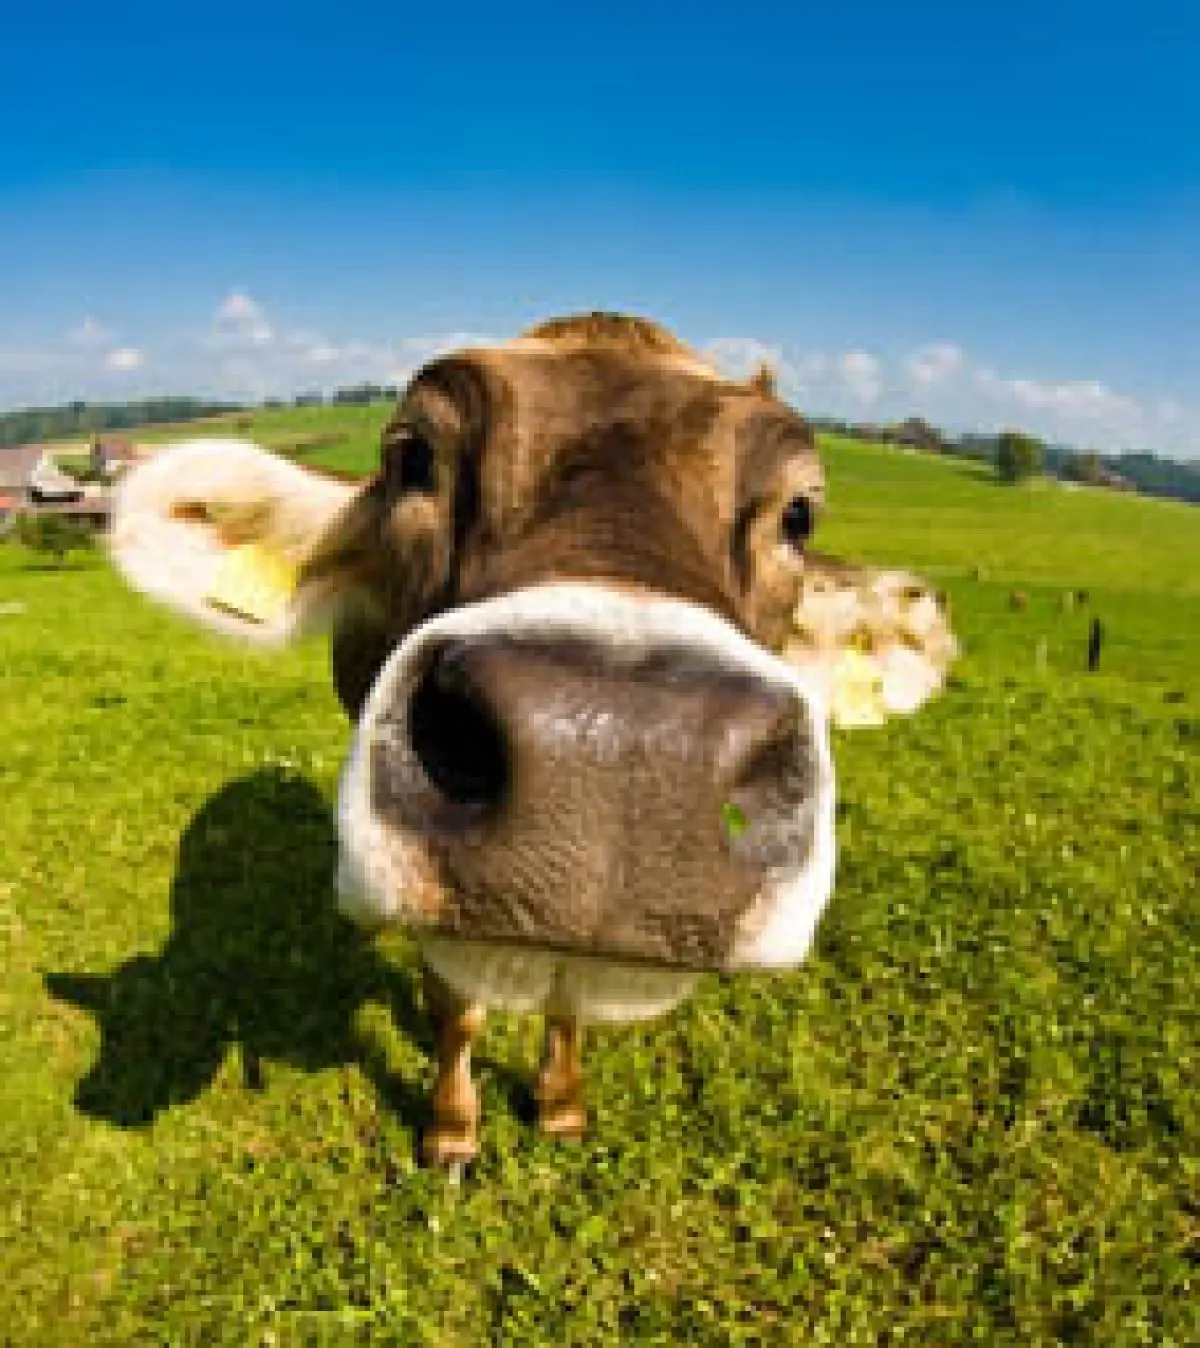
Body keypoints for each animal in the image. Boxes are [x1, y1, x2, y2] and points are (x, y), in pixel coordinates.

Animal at [109, 313, 957, 1169]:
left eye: (799, 514)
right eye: (412, 456)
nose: (620, 753)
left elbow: (567, 1000)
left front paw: (559, 1106)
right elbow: (456, 1007)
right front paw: (452, 1130)